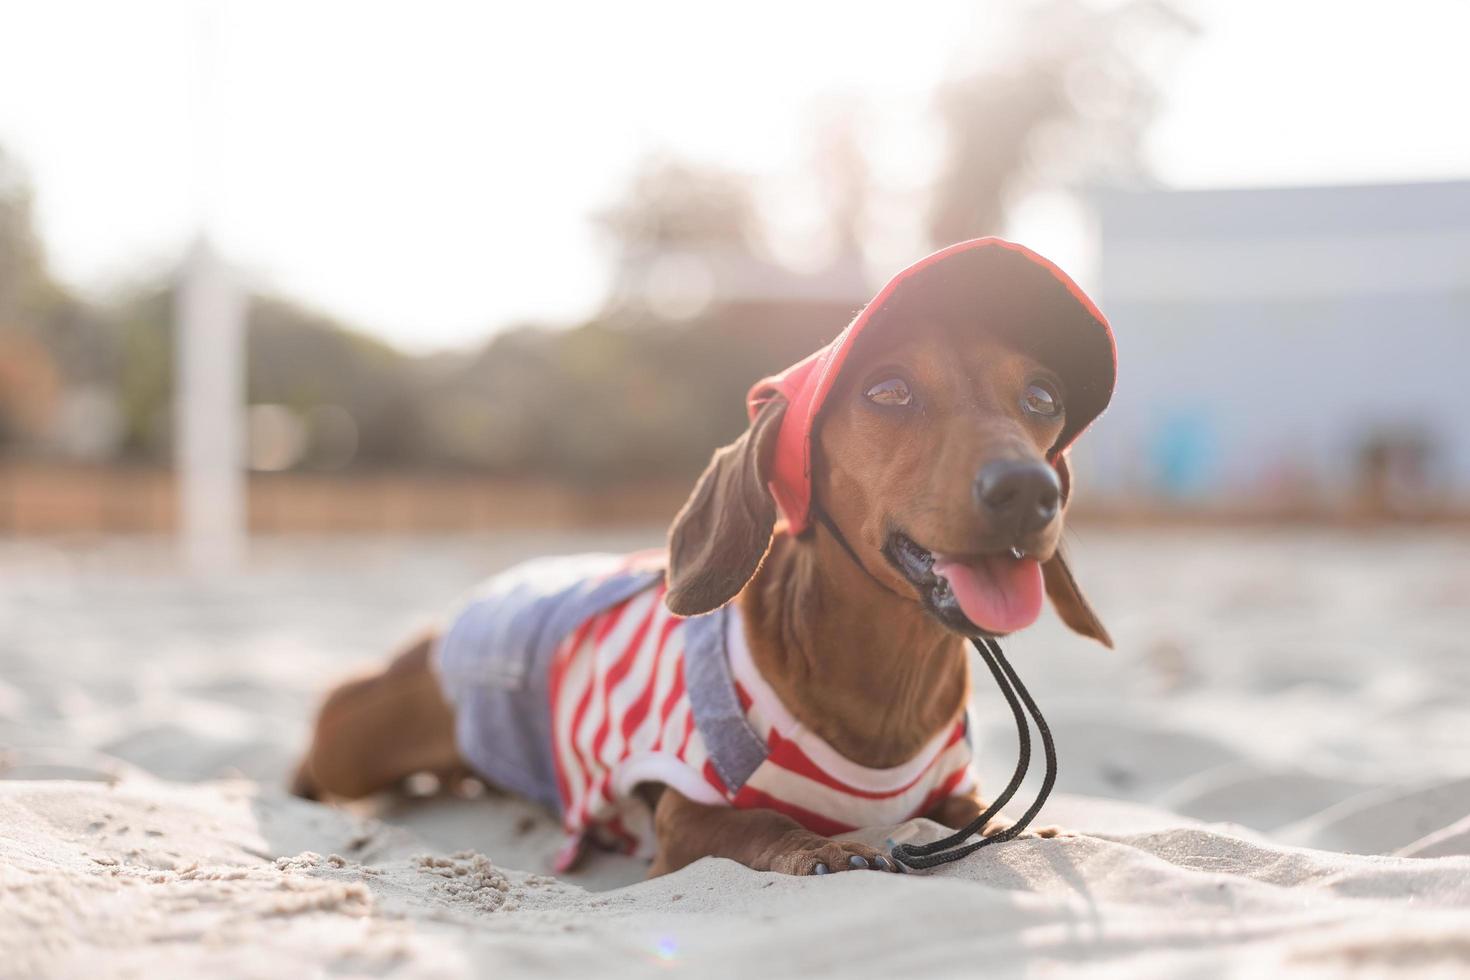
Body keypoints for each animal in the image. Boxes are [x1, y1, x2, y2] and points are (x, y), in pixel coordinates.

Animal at [292, 239, 1105, 881]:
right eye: (888, 389)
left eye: (1043, 397)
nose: (1030, 491)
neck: (885, 680)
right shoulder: (686, 813)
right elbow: (762, 822)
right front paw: (822, 847)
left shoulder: (948, 788)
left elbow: (975, 810)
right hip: (354, 742)